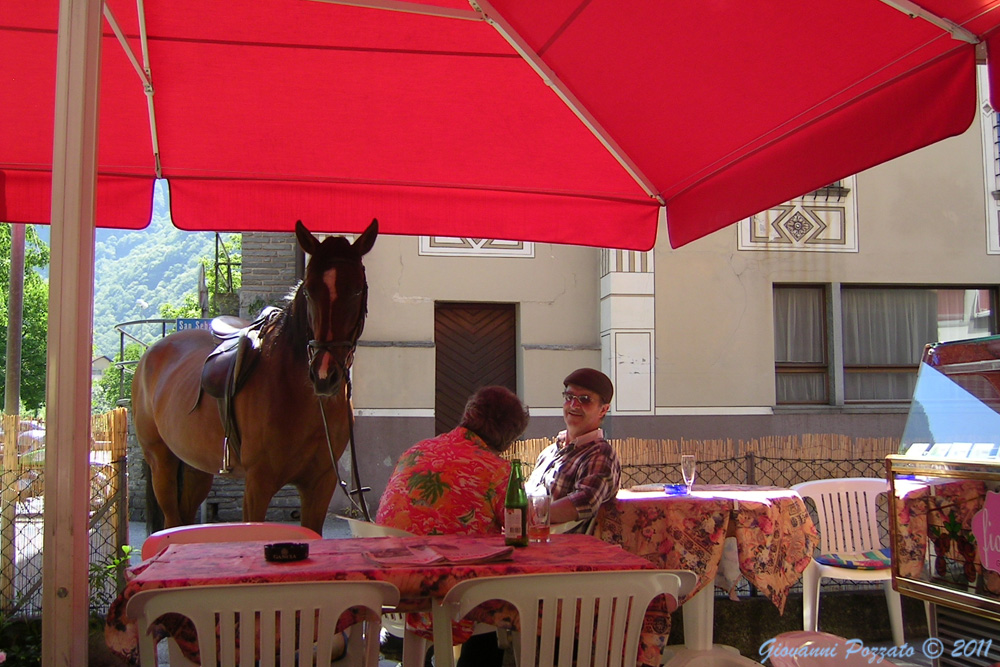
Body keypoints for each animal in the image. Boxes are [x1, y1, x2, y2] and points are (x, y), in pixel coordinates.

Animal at [133, 219, 378, 532]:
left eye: (358, 290)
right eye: (308, 291)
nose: (324, 375)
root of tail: (150, 355)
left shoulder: (320, 485)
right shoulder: (258, 484)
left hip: (196, 467)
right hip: (160, 461)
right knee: (171, 519)